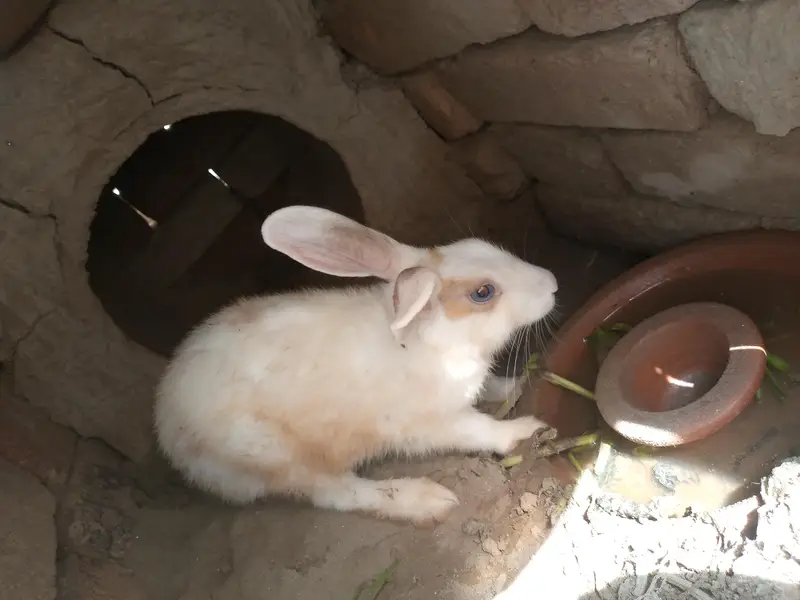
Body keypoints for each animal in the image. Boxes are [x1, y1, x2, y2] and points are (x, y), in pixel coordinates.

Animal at [154, 205, 558, 523]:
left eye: (483, 246)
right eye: (483, 293)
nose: (553, 284)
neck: (426, 340)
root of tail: (168, 427)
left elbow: (493, 387)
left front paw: (519, 384)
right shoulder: (428, 423)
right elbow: (478, 429)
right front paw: (524, 429)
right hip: (277, 455)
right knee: (336, 494)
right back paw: (426, 501)